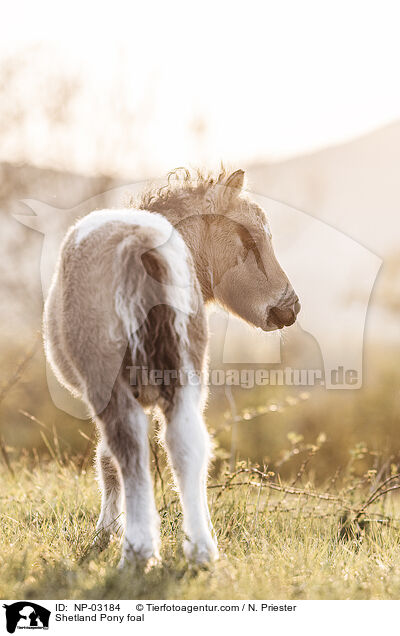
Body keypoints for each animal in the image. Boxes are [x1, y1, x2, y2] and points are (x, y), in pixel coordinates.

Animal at [43, 169, 300, 568]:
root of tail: (141, 244)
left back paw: (138, 550)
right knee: (187, 442)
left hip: (110, 382)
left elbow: (107, 461)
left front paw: (106, 532)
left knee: (129, 446)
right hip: (185, 377)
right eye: (250, 238)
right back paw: (201, 548)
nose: (290, 308)